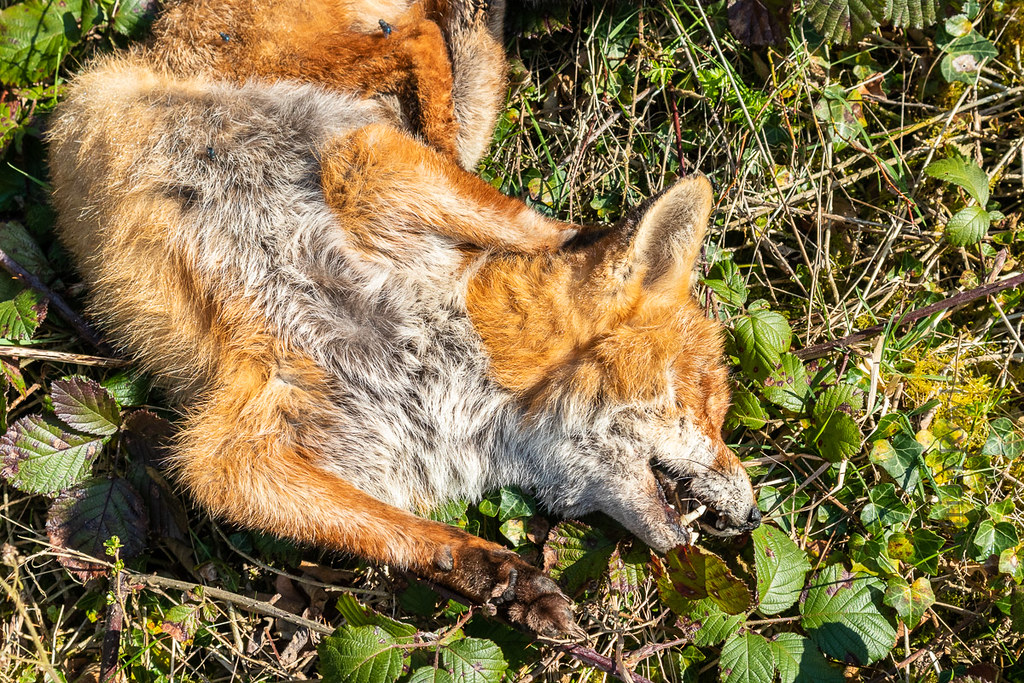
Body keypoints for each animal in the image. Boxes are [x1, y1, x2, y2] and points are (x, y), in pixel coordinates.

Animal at [46, 0, 760, 636]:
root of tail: (159, 30)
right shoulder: (361, 171)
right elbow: (529, 228)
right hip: (283, 71)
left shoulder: (289, 453)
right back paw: (443, 104)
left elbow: (386, 527)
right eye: (705, 405)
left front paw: (495, 581)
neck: (466, 387)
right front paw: (490, 569)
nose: (756, 512)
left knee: (447, 56)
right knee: (418, 47)